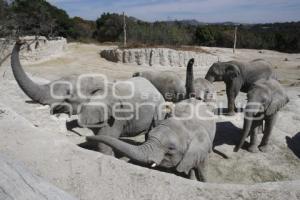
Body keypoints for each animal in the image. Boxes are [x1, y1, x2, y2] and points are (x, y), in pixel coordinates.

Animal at [86, 97, 216, 182]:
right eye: (149, 136)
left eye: (171, 148)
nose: (87, 137)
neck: (183, 122)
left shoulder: (201, 149)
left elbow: (201, 168)